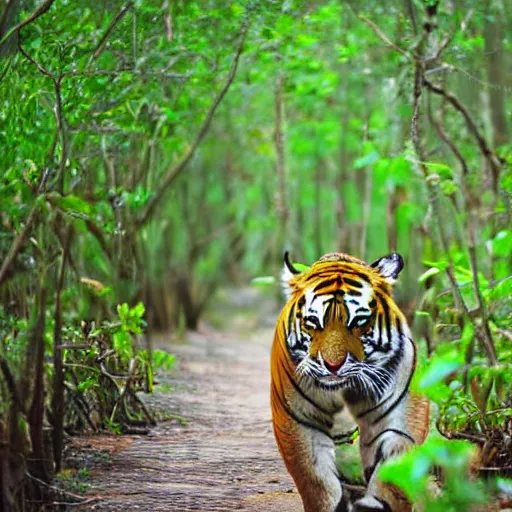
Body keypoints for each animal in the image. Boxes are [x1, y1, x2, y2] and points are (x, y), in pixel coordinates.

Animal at [270, 252, 430, 512]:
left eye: (359, 322)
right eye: (313, 322)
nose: (333, 366)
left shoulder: (400, 416)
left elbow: (394, 476)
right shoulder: (299, 419)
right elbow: (316, 480)